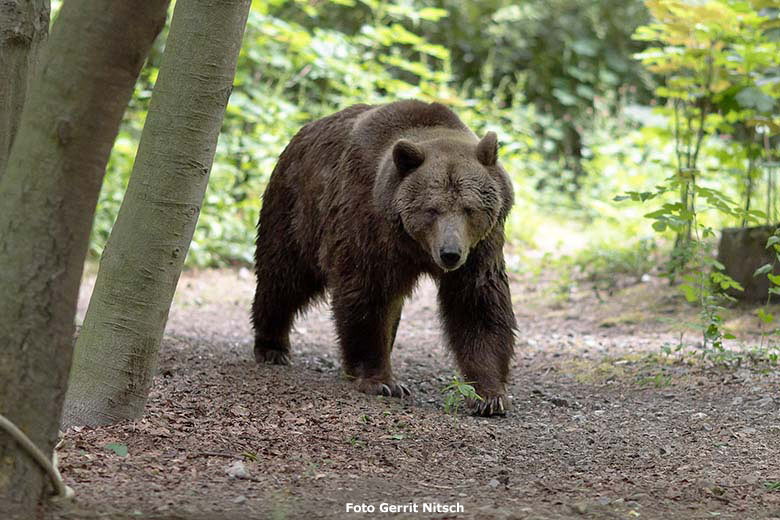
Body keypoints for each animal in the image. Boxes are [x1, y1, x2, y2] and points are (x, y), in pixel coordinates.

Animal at [253, 99, 516, 416]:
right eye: (432, 209)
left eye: (469, 208)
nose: (450, 254)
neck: (414, 246)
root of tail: (301, 132)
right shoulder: (367, 223)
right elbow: (366, 294)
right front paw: (382, 381)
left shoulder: (480, 248)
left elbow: (477, 305)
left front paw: (488, 395)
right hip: (296, 210)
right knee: (284, 278)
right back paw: (272, 346)